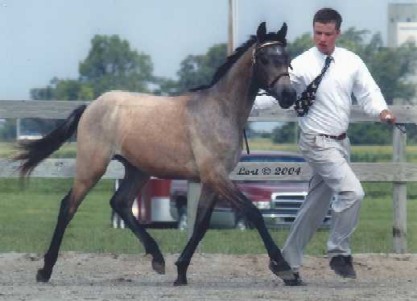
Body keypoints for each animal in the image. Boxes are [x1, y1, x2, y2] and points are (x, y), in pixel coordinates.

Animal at [14, 22, 296, 284]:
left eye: (287, 58)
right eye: (265, 58)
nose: (288, 95)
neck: (220, 110)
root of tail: (91, 106)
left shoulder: (213, 180)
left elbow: (201, 225)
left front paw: (181, 271)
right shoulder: (216, 176)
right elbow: (253, 213)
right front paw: (284, 269)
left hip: (137, 170)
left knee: (120, 203)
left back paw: (158, 258)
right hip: (92, 166)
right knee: (68, 206)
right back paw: (45, 270)